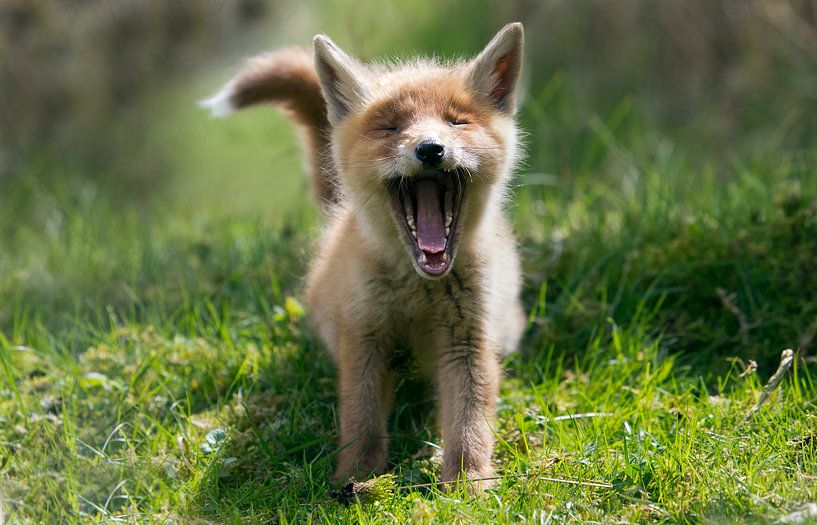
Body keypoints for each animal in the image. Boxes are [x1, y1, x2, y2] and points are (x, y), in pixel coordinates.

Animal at [201, 20, 524, 488]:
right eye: (390, 128)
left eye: (457, 121)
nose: (430, 149)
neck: (419, 290)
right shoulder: (362, 336)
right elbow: (362, 420)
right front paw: (354, 479)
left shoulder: (468, 342)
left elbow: (469, 424)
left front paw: (469, 484)